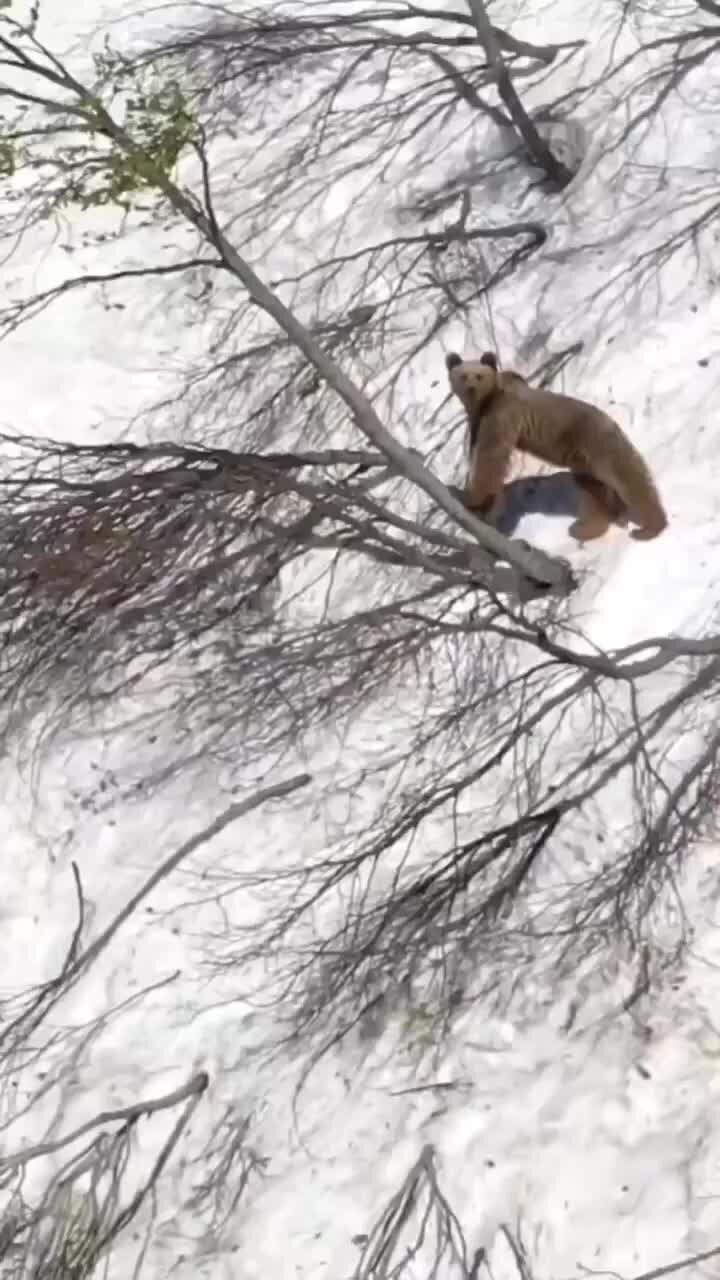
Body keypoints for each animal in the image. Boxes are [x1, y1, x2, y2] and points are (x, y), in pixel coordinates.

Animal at [445, 353, 666, 542]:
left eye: (478, 376)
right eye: (463, 376)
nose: (471, 389)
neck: (485, 403)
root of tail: (613, 422)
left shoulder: (502, 414)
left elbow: (491, 457)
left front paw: (472, 498)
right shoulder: (479, 422)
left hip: (596, 443)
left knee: (628, 479)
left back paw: (648, 528)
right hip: (584, 463)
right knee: (594, 491)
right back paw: (588, 527)